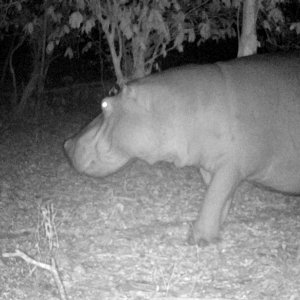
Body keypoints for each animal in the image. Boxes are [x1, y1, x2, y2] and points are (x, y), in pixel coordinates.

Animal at [64, 52, 300, 245]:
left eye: (104, 104)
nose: (67, 143)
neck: (180, 106)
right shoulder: (210, 166)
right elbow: (219, 198)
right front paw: (215, 230)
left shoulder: (231, 165)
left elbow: (214, 196)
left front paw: (199, 240)